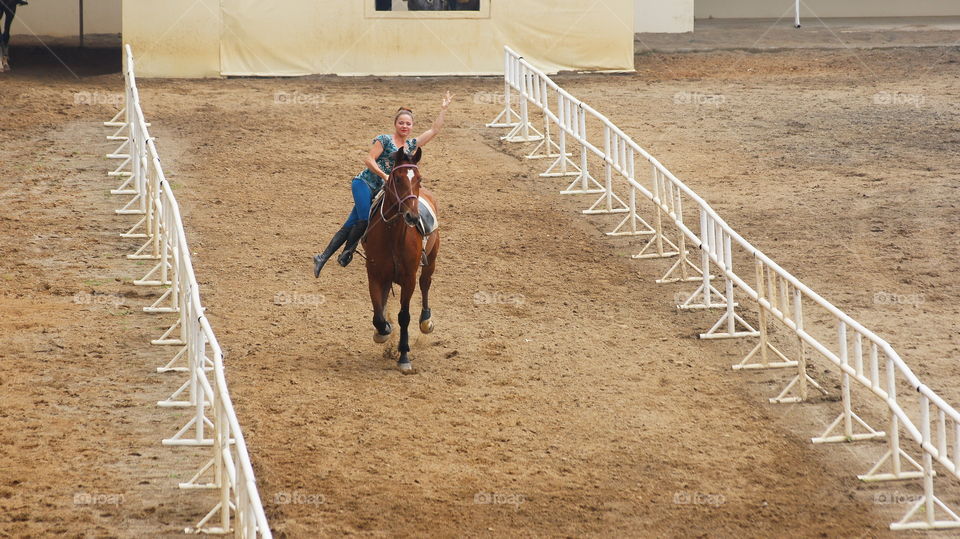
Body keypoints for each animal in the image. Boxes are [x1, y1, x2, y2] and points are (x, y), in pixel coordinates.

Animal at [363, 145, 439, 373]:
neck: (393, 235)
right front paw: (383, 330)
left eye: (419, 179)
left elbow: (404, 316)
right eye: (397, 179)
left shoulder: (408, 279)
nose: (412, 216)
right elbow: (378, 313)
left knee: (425, 283)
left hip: (431, 259)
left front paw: (404, 356)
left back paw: (426, 321)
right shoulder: (375, 275)